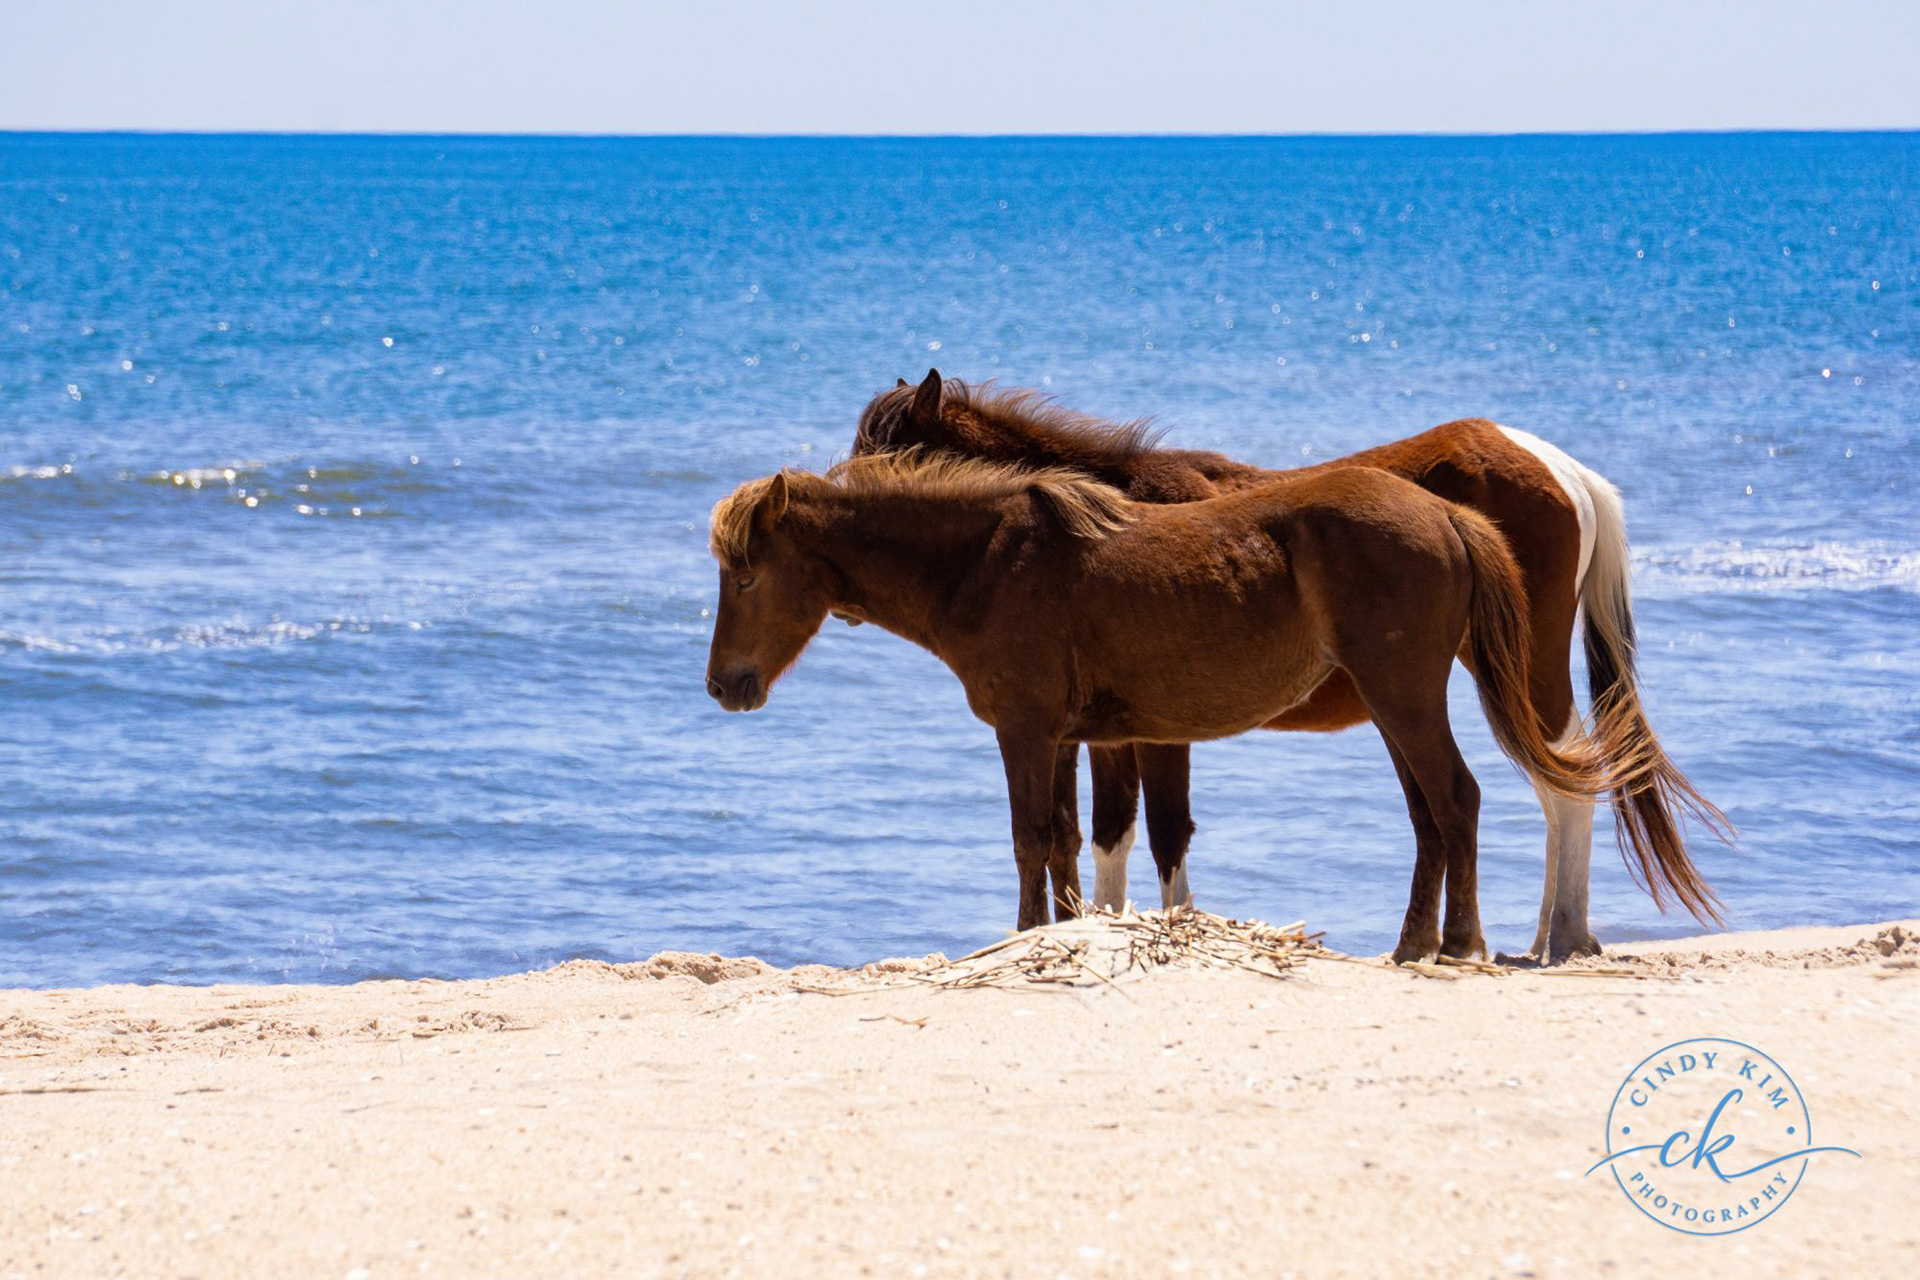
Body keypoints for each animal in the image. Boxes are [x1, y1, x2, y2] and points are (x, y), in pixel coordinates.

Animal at [704, 451, 1640, 964]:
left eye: (745, 575)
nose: (722, 685)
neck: (989, 560)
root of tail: (1446, 513)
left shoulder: (1026, 731)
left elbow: (1029, 839)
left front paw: (1024, 934)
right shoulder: (1068, 738)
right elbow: (1066, 843)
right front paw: (1064, 930)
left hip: (1403, 694)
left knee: (1455, 801)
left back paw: (1455, 944)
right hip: (1394, 702)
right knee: (1432, 815)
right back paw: (1415, 942)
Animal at [851, 371, 1728, 960]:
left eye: (887, 458)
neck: (1099, 524)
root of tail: (1563, 470)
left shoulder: (1151, 729)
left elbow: (1158, 831)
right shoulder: (1103, 729)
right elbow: (1103, 834)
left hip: (1516, 671)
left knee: (1565, 778)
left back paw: (1555, 936)